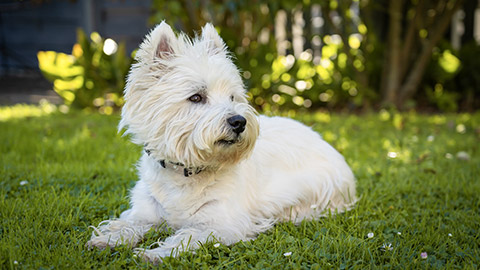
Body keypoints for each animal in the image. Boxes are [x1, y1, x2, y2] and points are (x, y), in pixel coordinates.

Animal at [87, 22, 356, 262]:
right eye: (196, 97)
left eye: (232, 97)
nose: (239, 121)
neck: (186, 172)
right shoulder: (145, 211)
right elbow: (129, 224)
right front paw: (106, 239)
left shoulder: (222, 224)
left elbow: (186, 236)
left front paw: (154, 254)